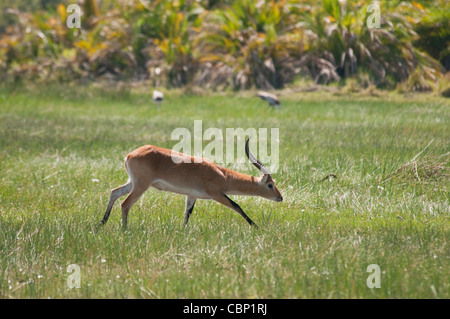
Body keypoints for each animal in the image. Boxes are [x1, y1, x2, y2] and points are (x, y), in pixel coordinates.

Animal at [101, 139, 282, 229]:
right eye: (270, 185)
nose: (280, 198)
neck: (223, 175)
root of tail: (130, 155)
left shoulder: (192, 196)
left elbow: (187, 214)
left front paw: (183, 231)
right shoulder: (217, 194)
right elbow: (237, 206)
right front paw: (256, 227)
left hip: (132, 183)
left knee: (114, 192)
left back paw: (101, 224)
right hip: (140, 186)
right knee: (125, 204)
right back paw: (124, 230)